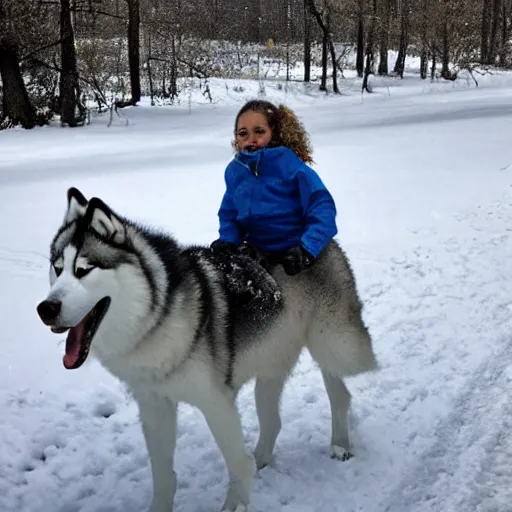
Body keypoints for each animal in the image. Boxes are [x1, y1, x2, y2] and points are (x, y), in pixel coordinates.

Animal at [37, 188, 376, 512]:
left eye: (84, 269)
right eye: (57, 268)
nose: (45, 309)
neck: (157, 315)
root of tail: (311, 239)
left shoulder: (216, 400)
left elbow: (237, 463)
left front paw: (235, 505)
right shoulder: (154, 405)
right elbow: (163, 474)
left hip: (334, 344)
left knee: (338, 386)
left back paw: (340, 444)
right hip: (272, 361)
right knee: (275, 419)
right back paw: (265, 457)